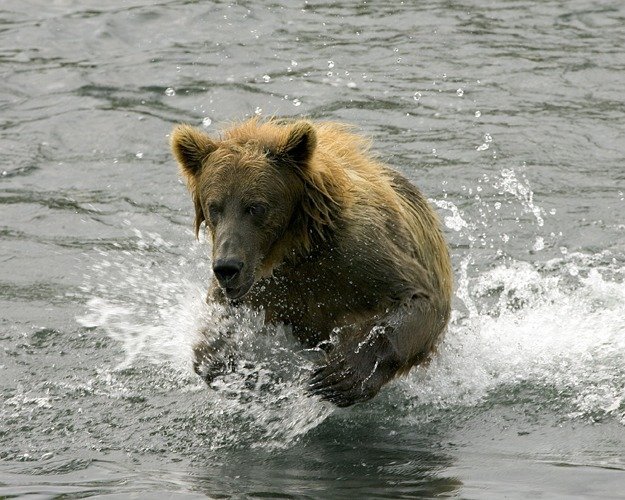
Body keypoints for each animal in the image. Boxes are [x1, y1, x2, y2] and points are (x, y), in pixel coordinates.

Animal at [173, 119, 450, 408]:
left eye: (255, 207)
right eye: (214, 207)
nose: (227, 267)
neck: (295, 248)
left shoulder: (360, 254)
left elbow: (420, 298)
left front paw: (341, 375)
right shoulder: (261, 286)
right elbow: (216, 328)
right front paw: (234, 368)